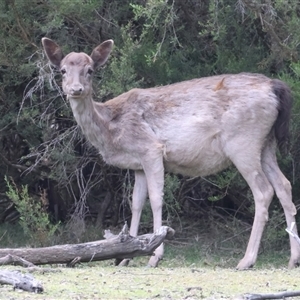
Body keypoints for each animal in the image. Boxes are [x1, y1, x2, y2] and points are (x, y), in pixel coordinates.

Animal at [41, 37, 300, 270]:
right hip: (266, 144)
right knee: (284, 185)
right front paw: (125, 256)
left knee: (263, 191)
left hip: (243, 142)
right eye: (63, 70)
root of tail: (275, 87)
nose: (76, 89)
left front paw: (155, 255)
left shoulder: (151, 149)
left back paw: (247, 260)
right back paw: (292, 259)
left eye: (90, 70)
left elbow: (156, 198)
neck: (111, 129)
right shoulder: (137, 164)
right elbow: (136, 203)